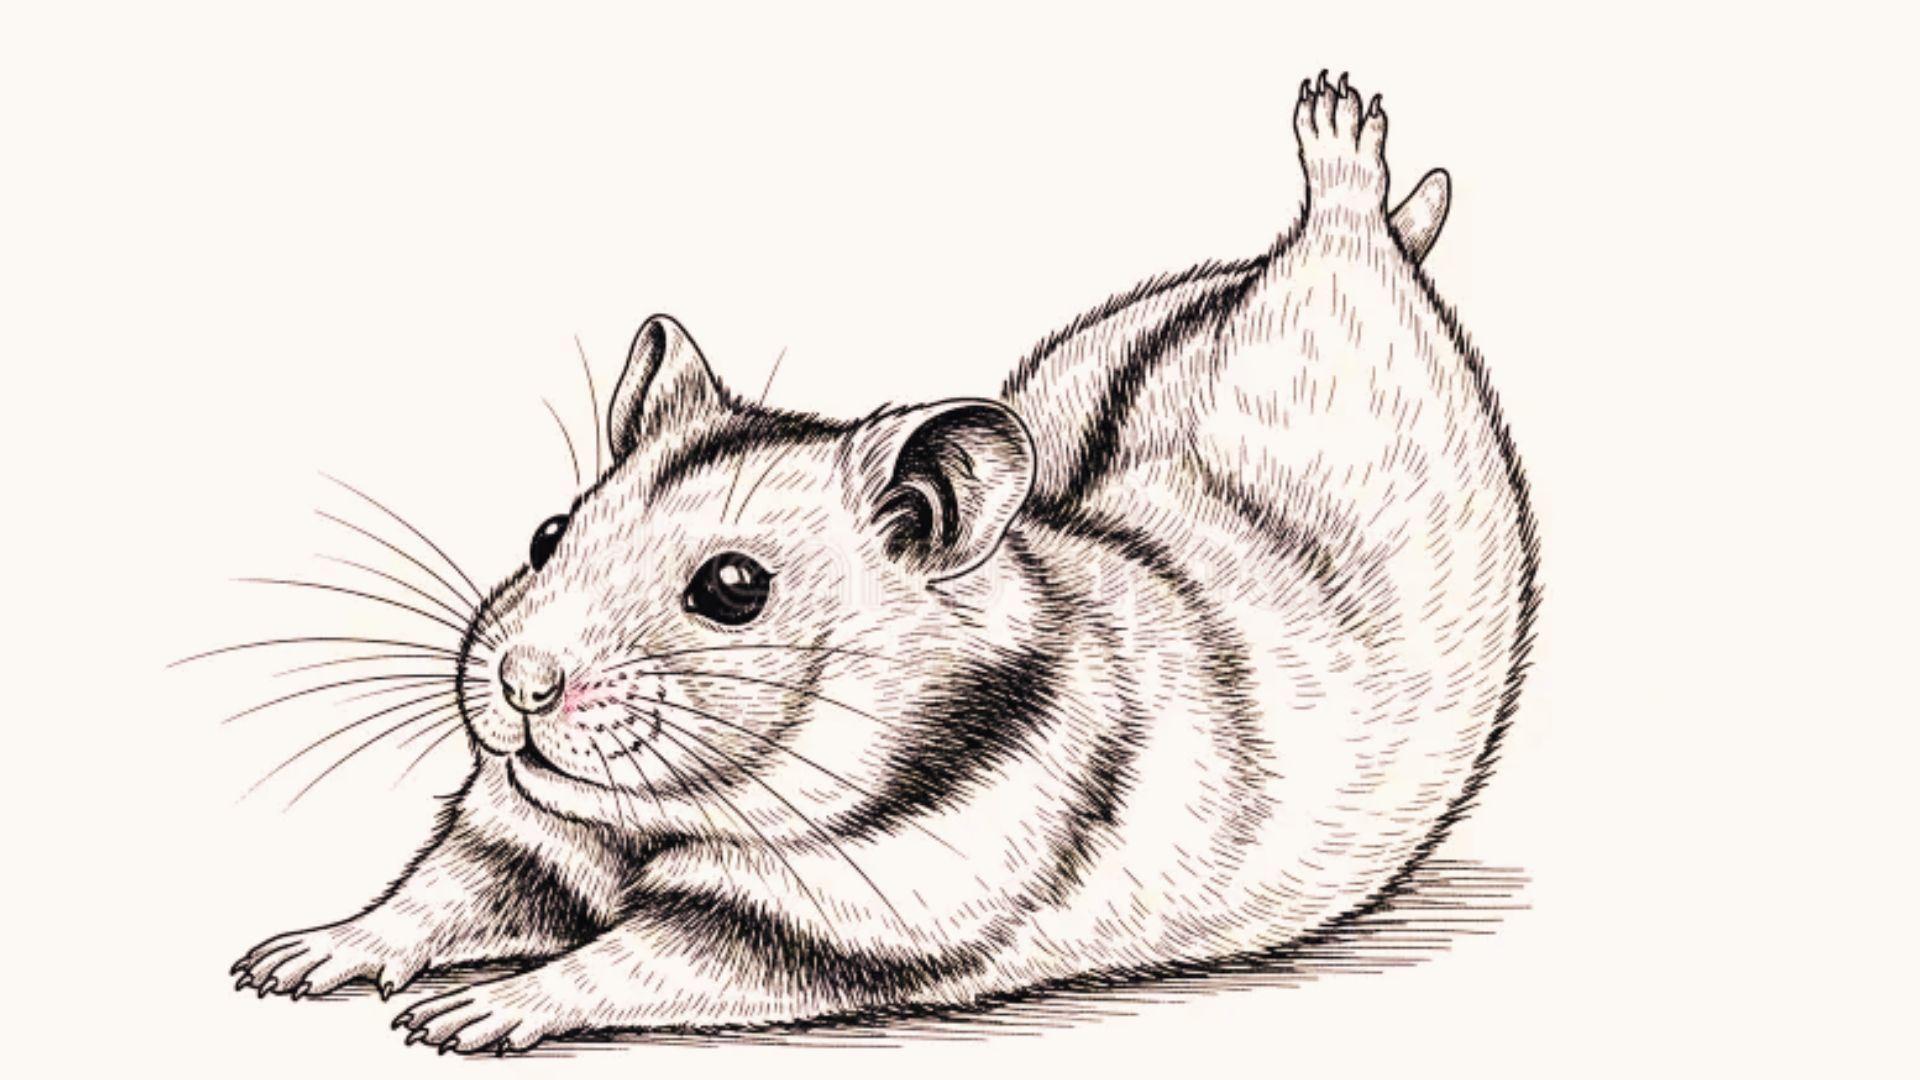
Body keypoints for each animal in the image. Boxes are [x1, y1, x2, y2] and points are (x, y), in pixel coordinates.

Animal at [230, 71, 1539, 1053]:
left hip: (1345, 310)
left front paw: (466, 1016)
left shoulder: (838, 917)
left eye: (732, 589)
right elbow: (443, 890)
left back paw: (1337, 124)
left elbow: (636, 956)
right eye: (549, 536)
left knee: (1344, 216)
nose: (519, 686)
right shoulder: (525, 834)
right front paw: (289, 959)